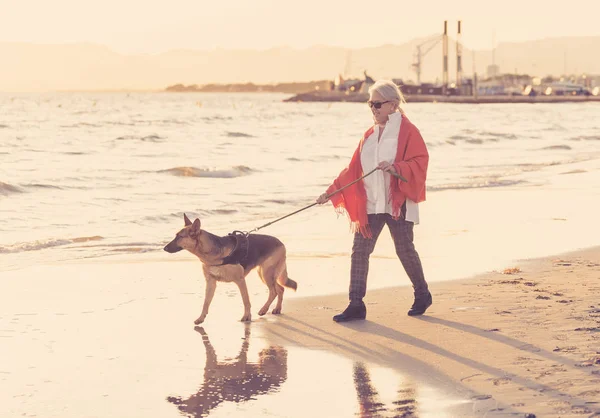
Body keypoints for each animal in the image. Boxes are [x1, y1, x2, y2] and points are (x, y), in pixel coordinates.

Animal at [164, 214, 298, 324]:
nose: (164, 248)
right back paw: (277, 309)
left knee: (274, 291)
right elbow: (206, 303)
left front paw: (246, 317)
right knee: (280, 289)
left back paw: (264, 309)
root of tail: (280, 243)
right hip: (263, 274)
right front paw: (201, 318)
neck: (211, 253)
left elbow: (246, 300)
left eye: (179, 237)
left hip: (266, 274)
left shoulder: (240, 280)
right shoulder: (211, 283)